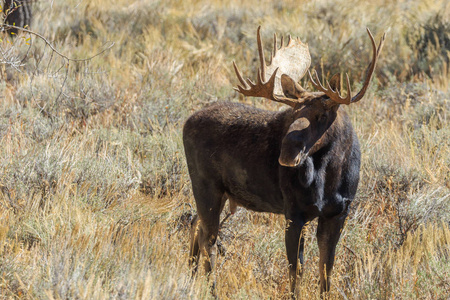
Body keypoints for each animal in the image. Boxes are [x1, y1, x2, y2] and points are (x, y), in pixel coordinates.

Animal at [184, 26, 386, 296]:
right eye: (292, 113)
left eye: (322, 114)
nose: (287, 154)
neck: (328, 179)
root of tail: (186, 122)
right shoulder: (293, 212)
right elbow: (296, 271)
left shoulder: (339, 212)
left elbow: (326, 270)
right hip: (206, 187)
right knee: (209, 240)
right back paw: (211, 289)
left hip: (219, 193)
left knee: (196, 224)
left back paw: (191, 277)